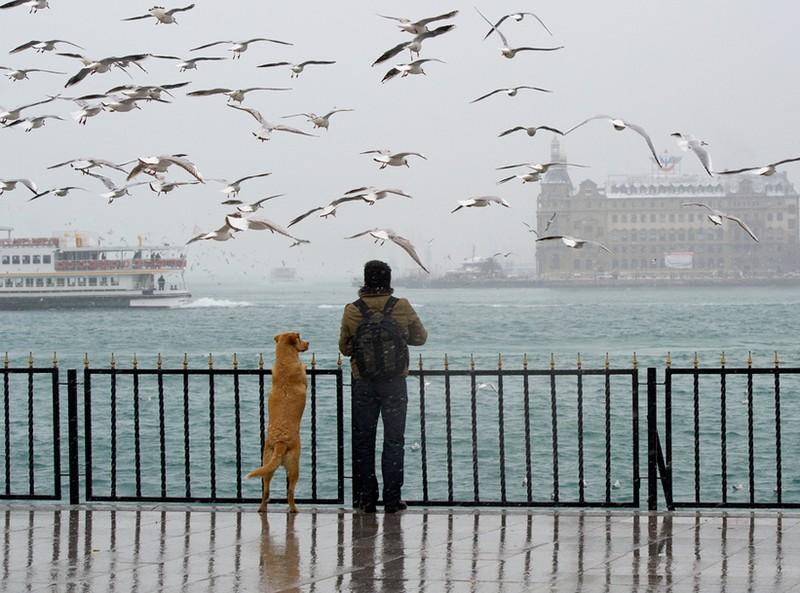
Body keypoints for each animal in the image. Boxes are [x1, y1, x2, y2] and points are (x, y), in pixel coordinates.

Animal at [244, 330, 310, 512]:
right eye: (300, 338)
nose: (308, 343)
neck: (284, 362)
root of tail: (280, 443)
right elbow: (304, 371)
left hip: (266, 463)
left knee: (265, 491)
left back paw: (261, 508)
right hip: (294, 466)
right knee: (290, 491)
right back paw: (294, 509)